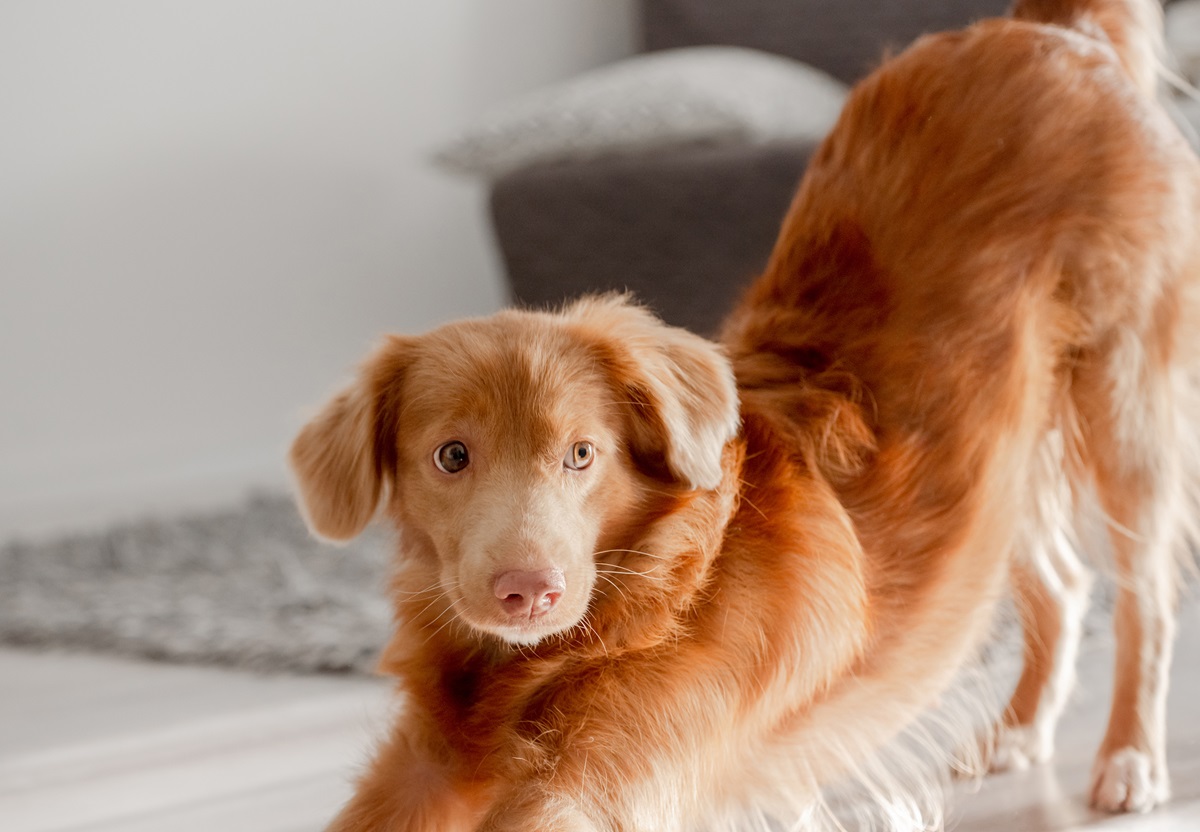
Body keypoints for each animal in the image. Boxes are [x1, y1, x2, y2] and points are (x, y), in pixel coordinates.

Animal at [290, 3, 1200, 825]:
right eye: (451, 456)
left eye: (582, 454)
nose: (528, 593)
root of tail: (1047, 31)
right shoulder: (421, 768)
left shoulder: (598, 784)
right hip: (1002, 455)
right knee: (1064, 583)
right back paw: (1018, 731)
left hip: (1123, 408)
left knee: (1147, 600)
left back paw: (1130, 758)